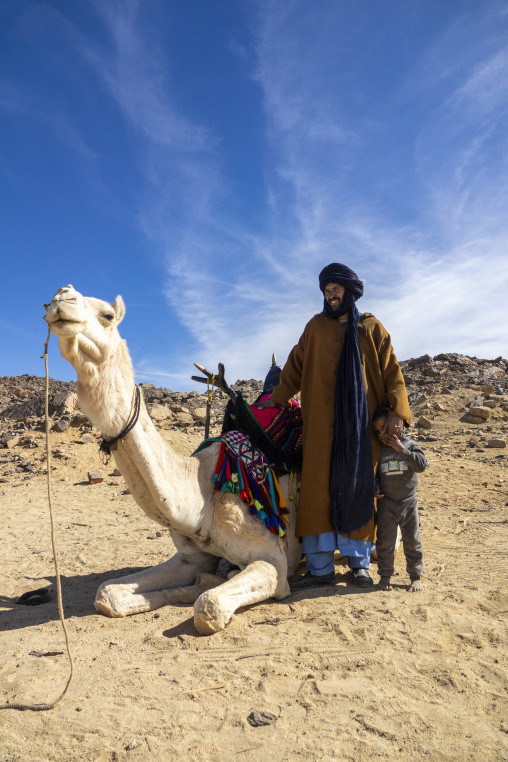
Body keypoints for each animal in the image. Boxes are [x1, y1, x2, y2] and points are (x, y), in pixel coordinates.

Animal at [45, 286, 302, 635]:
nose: (62, 296)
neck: (202, 496)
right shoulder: (190, 557)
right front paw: (193, 585)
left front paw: (210, 585)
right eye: (48, 303)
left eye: (108, 315)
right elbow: (107, 594)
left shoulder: (274, 559)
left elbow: (208, 607)